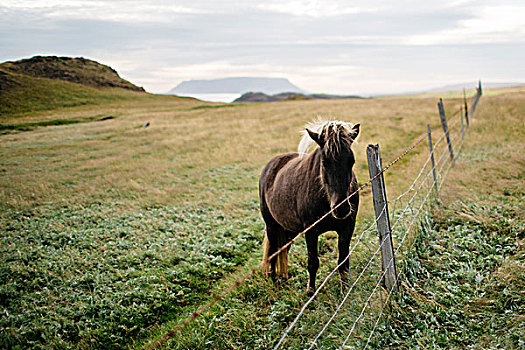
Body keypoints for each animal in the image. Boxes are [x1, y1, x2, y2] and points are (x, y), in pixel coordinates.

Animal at [258, 119, 358, 294]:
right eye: (324, 162)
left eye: (351, 160)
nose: (342, 208)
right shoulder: (311, 232)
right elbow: (313, 263)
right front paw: (311, 292)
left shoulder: (347, 228)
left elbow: (343, 262)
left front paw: (345, 291)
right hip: (272, 226)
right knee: (274, 253)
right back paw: (275, 284)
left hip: (288, 230)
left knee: (283, 251)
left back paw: (282, 281)